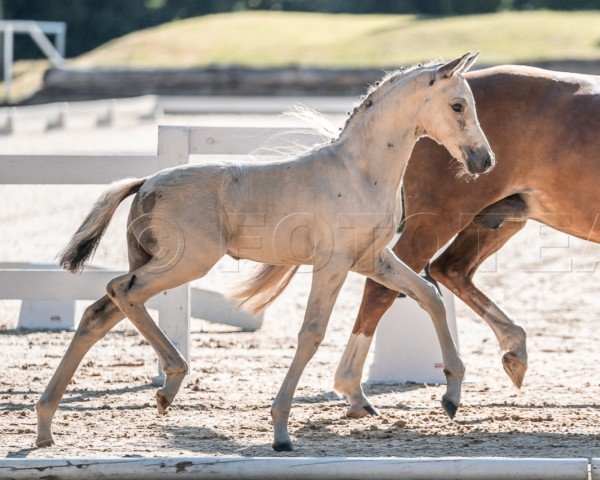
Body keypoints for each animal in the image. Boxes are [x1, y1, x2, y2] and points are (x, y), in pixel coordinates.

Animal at [36, 52, 492, 450]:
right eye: (457, 105)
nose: (483, 160)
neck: (359, 172)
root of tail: (145, 182)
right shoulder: (333, 264)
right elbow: (311, 334)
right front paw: (281, 431)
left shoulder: (372, 259)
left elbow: (429, 296)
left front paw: (451, 396)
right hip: (184, 263)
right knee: (120, 291)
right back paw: (169, 382)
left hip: (158, 263)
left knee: (100, 313)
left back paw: (49, 424)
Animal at [332, 63, 600, 416]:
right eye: (458, 107)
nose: (483, 158)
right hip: (439, 219)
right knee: (384, 289)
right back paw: (354, 390)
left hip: (497, 220)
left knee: (449, 270)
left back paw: (512, 350)